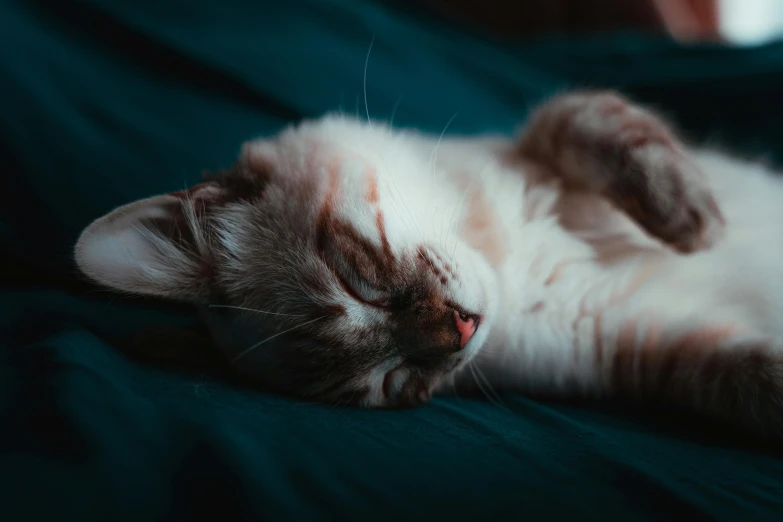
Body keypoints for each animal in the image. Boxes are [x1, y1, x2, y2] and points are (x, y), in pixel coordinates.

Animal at [76, 91, 783, 436]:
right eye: (395, 384)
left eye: (359, 280)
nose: (461, 332)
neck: (510, 269)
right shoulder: (644, 343)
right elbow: (749, 378)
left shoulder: (539, 144)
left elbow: (579, 119)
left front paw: (694, 221)